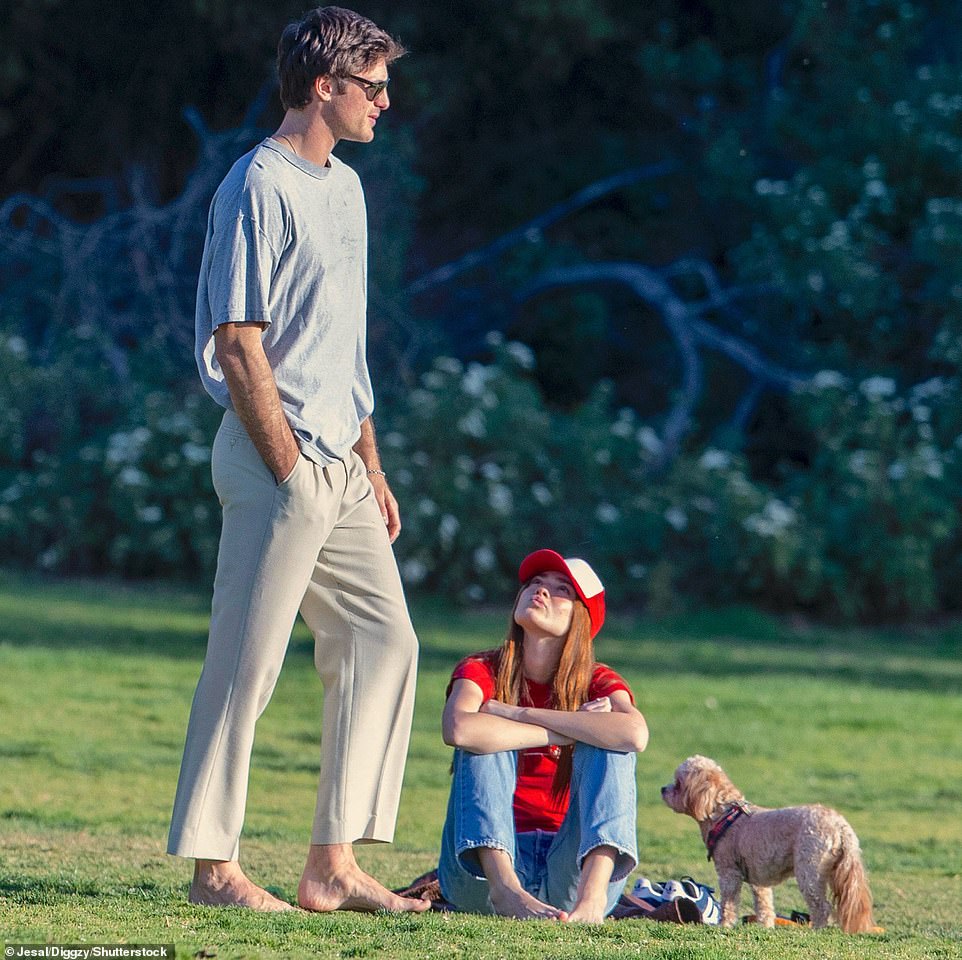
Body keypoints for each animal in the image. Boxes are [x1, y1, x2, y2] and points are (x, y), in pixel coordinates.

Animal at [660, 756, 872, 928]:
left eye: (678, 783)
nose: (662, 789)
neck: (724, 813)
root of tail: (841, 826)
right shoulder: (759, 878)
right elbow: (764, 905)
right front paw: (765, 926)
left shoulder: (729, 872)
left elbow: (728, 903)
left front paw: (724, 925)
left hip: (810, 868)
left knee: (822, 907)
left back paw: (816, 930)